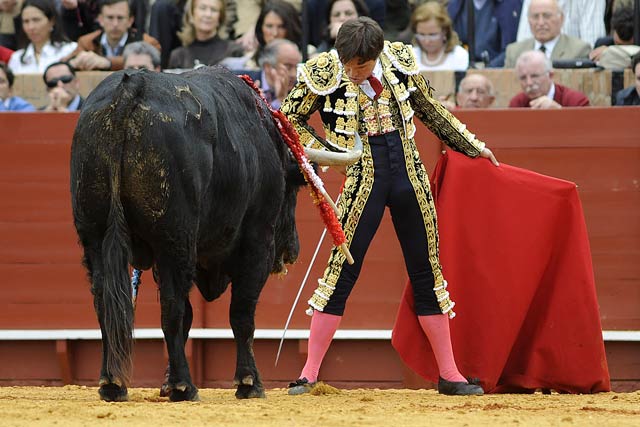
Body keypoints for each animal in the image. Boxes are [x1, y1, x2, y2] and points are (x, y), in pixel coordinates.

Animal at [70, 66, 308, 402]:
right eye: (294, 188)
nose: (292, 250)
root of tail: (131, 87)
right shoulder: (256, 243)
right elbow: (241, 313)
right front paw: (249, 383)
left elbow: (190, 317)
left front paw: (166, 382)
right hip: (175, 237)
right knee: (172, 306)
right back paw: (185, 386)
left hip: (94, 234)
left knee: (105, 300)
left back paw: (112, 383)